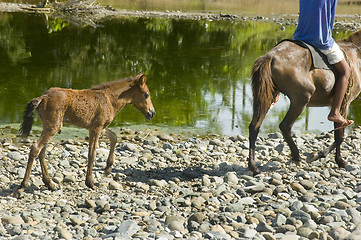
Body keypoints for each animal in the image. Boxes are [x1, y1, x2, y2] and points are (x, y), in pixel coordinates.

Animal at [14, 72, 155, 197]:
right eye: (146, 94)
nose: (152, 113)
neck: (109, 99)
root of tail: (42, 98)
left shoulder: (99, 127)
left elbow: (114, 137)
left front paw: (108, 168)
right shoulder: (96, 128)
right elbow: (92, 154)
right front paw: (90, 183)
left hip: (47, 127)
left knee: (42, 152)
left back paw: (50, 184)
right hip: (52, 127)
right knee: (35, 148)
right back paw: (22, 187)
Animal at [246, 30, 360, 175]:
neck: (356, 54)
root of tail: (270, 56)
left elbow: (338, 134)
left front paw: (337, 160)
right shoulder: (344, 104)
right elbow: (339, 136)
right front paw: (324, 156)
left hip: (267, 97)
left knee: (254, 126)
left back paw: (253, 166)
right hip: (301, 100)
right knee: (285, 126)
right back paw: (296, 156)